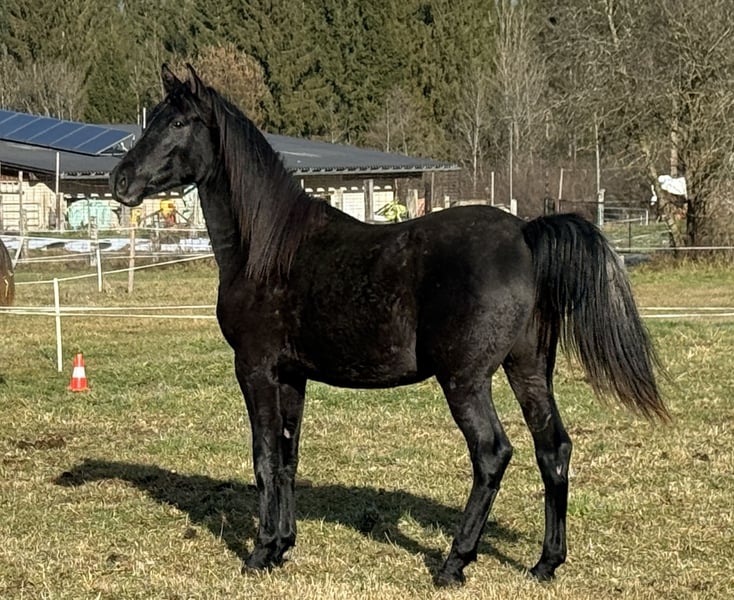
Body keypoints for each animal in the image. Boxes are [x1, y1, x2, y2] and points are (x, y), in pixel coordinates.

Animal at [110, 64, 668, 587]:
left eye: (178, 122)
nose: (120, 181)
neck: (267, 250)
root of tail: (526, 234)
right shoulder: (292, 376)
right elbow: (288, 457)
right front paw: (284, 545)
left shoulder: (256, 370)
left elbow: (264, 458)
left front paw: (260, 553)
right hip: (527, 369)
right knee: (552, 448)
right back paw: (545, 563)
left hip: (465, 380)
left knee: (492, 453)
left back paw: (454, 564)